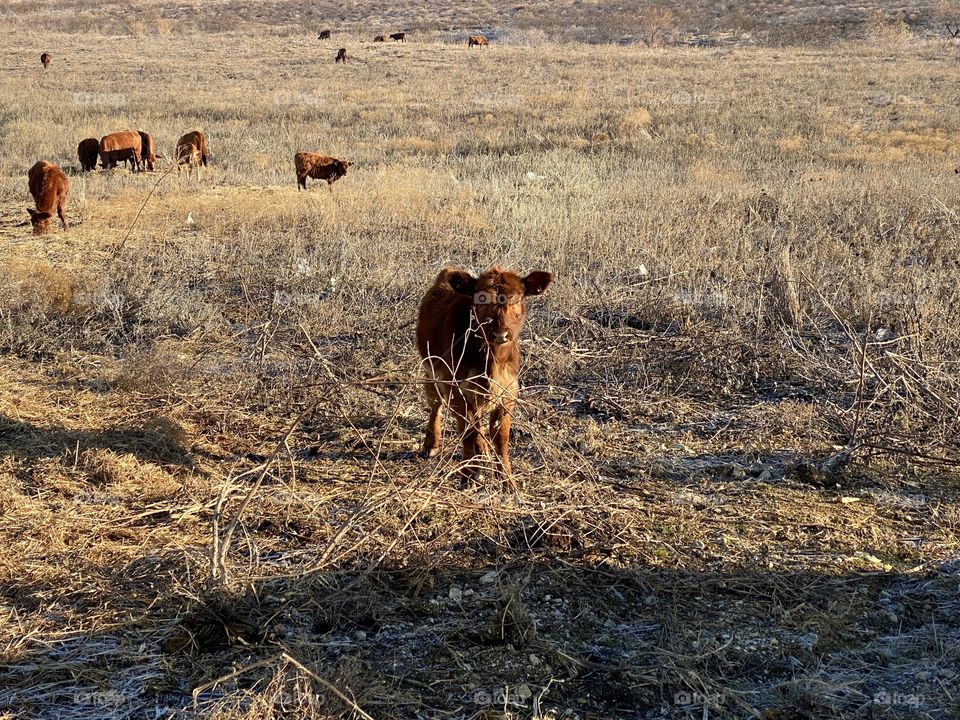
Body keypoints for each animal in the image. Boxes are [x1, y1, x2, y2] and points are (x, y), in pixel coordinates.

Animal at [415, 266, 553, 489]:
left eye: (518, 298)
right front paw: (468, 475)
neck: (493, 361)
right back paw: (431, 443)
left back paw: (482, 449)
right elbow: (468, 434)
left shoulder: (508, 392)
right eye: (482, 300)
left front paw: (506, 480)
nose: (500, 334)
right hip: (432, 369)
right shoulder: (457, 391)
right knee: (435, 402)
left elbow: (500, 437)